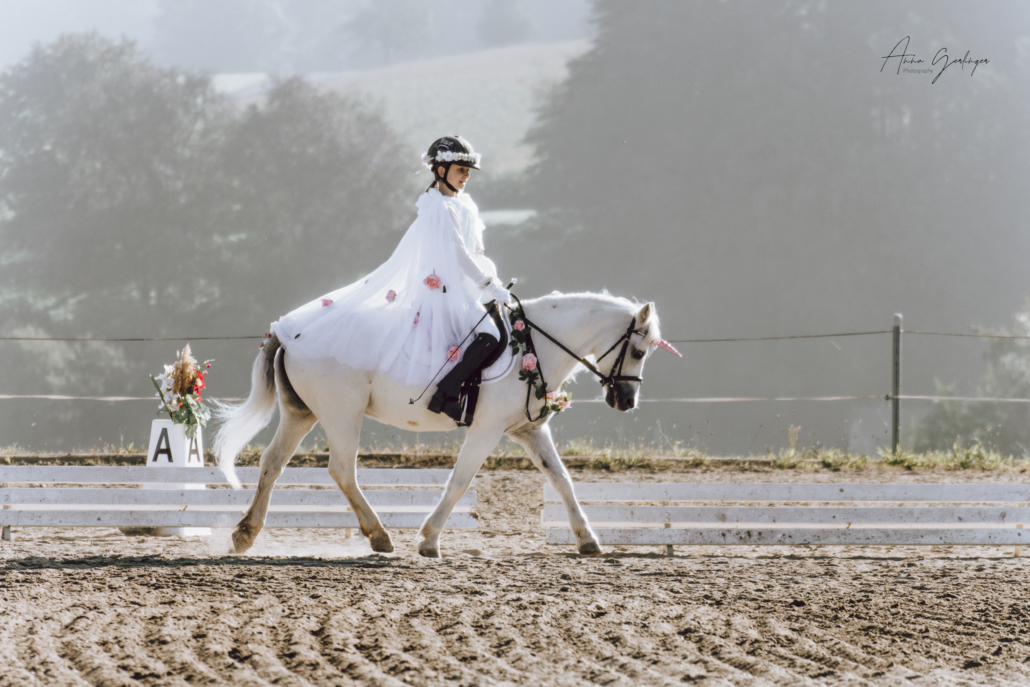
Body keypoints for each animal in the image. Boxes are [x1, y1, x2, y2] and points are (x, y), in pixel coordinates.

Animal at [213, 292, 680, 558]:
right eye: (638, 351)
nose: (626, 401)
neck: (533, 344)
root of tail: (288, 333)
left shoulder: (528, 430)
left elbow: (562, 480)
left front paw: (588, 540)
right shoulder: (487, 429)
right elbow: (459, 481)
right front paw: (429, 540)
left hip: (302, 412)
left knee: (273, 463)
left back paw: (246, 533)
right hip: (342, 413)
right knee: (342, 469)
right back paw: (379, 536)